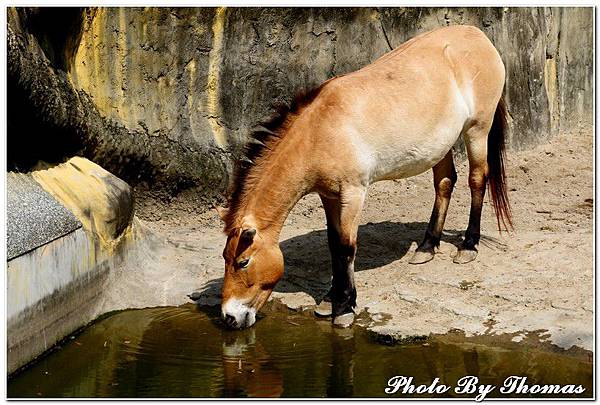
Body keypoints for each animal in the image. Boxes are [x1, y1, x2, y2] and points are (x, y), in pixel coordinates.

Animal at [218, 24, 512, 328]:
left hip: (477, 130)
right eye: (225, 257)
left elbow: (347, 247)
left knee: (477, 179)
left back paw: (468, 246)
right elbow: (333, 244)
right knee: (444, 184)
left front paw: (345, 307)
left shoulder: (353, 193)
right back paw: (427, 247)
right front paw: (330, 300)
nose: (229, 317)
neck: (320, 131)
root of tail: (479, 36)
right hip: (440, 145)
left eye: (243, 262)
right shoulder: (329, 195)